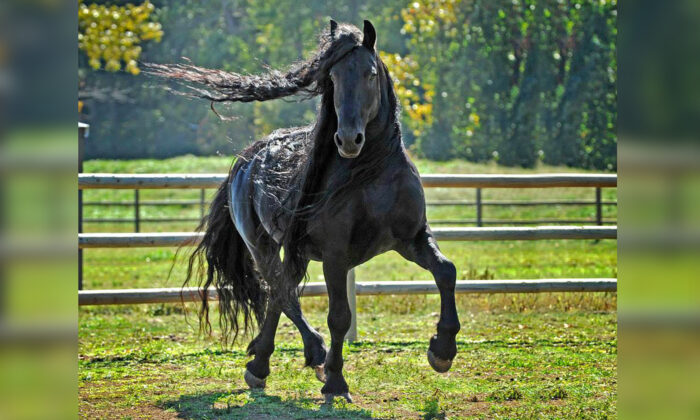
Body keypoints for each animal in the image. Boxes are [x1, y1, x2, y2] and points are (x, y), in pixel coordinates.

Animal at [148, 20, 460, 403]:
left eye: (370, 73)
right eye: (333, 77)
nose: (348, 139)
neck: (371, 175)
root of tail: (248, 159)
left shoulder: (412, 238)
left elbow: (446, 271)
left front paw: (442, 350)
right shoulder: (336, 255)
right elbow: (339, 316)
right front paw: (336, 382)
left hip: (296, 252)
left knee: (279, 294)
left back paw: (267, 361)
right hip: (262, 246)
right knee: (281, 293)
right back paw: (298, 358)